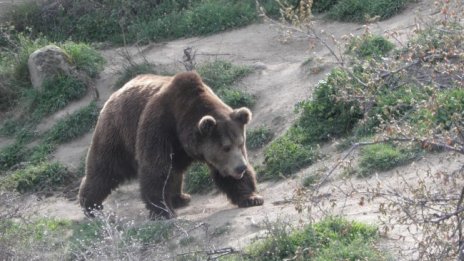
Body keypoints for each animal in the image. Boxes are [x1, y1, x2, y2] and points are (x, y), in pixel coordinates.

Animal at [78, 70, 262, 217]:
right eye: (226, 147)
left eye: (240, 143)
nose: (240, 168)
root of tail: (115, 93)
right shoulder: (159, 127)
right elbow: (156, 168)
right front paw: (163, 211)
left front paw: (252, 197)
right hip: (118, 132)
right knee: (105, 168)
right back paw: (91, 205)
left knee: (175, 170)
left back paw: (181, 197)